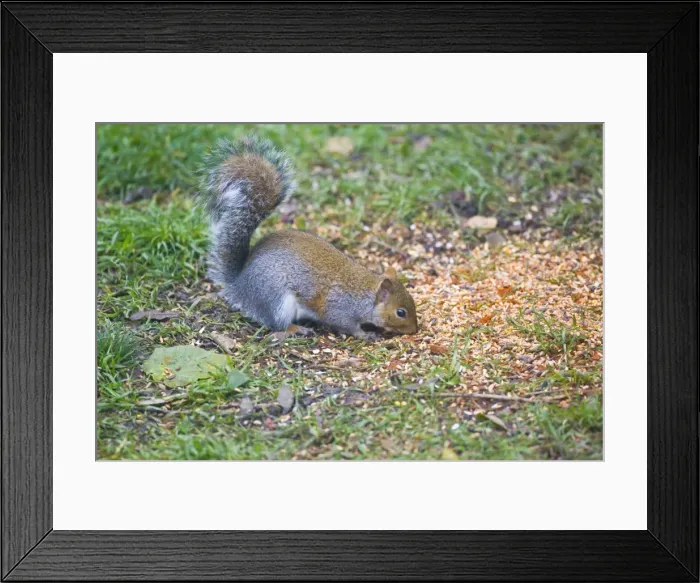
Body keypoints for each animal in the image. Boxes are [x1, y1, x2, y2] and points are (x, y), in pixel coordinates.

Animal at [197, 136, 418, 340]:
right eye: (401, 312)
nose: (415, 330)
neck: (366, 294)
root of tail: (239, 286)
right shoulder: (339, 309)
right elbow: (347, 326)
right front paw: (365, 334)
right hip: (277, 301)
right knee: (277, 324)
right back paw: (297, 329)